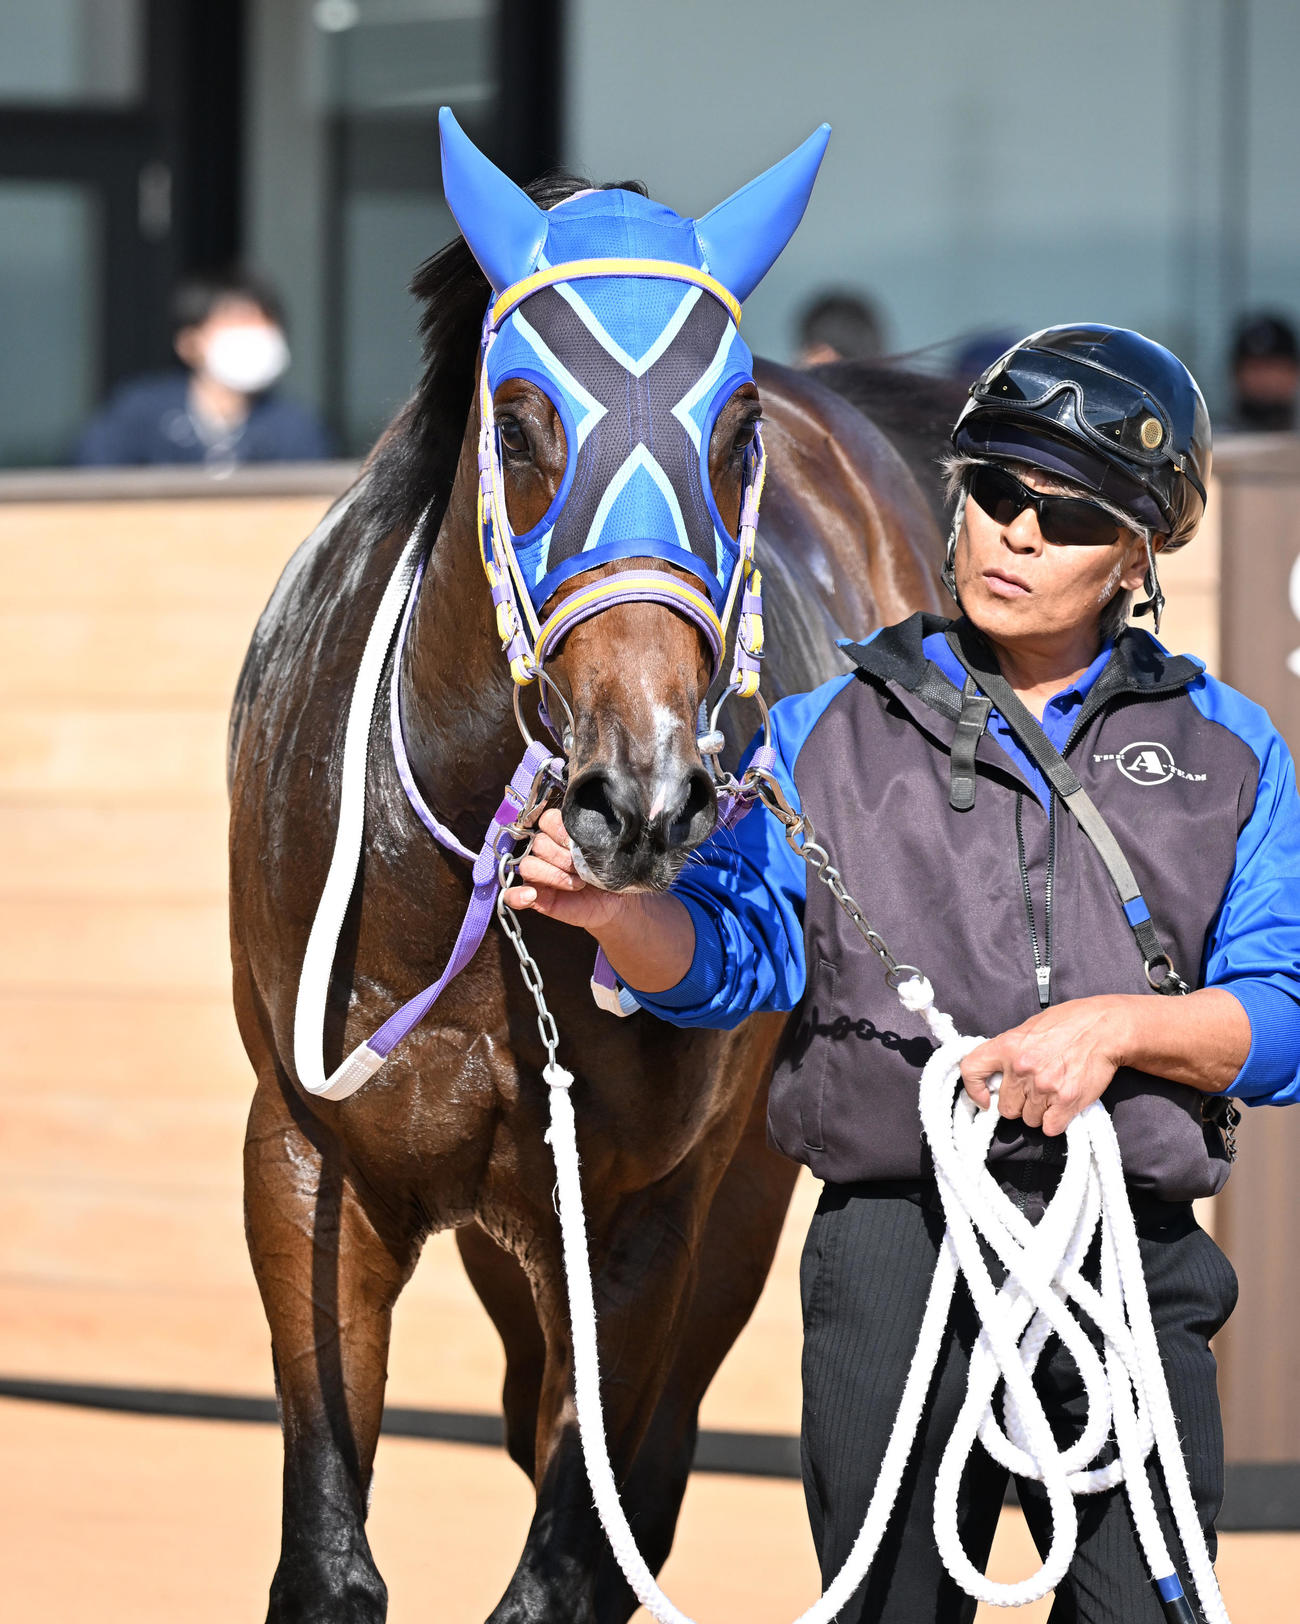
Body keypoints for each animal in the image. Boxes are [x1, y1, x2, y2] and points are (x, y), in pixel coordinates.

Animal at [229, 122, 944, 1624]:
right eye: (515, 424)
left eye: (734, 436)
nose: (645, 794)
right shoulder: (306, 1160)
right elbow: (330, 1556)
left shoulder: (646, 1213)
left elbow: (580, 1546)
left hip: (732, 1198)